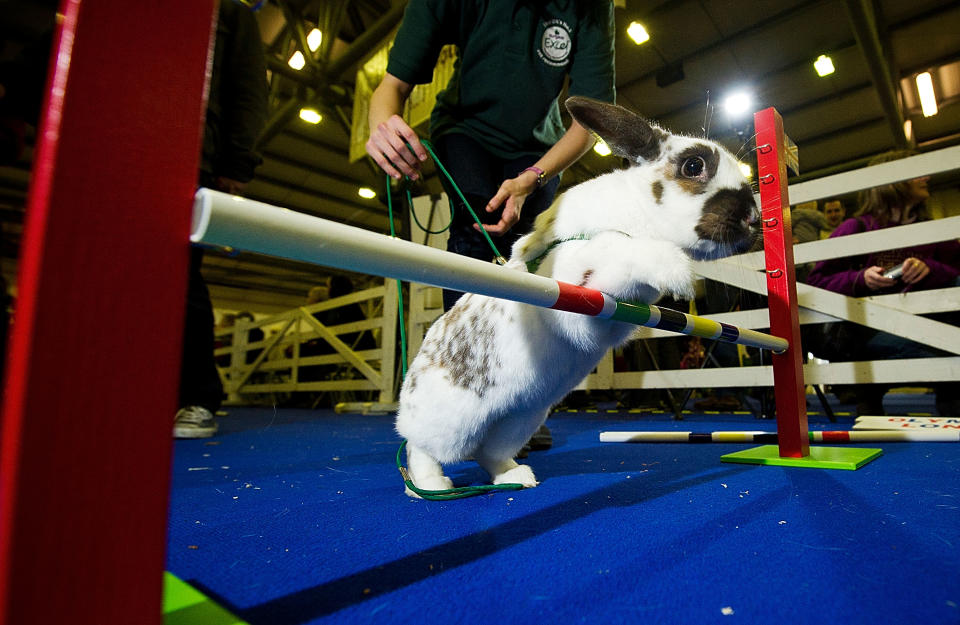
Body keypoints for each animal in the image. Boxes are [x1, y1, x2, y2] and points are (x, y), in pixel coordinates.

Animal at [396, 96, 756, 498]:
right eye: (693, 165)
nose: (753, 219)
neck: (637, 216)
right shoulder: (573, 279)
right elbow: (615, 248)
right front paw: (675, 271)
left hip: (520, 419)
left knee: (488, 454)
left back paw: (517, 476)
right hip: (449, 425)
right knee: (420, 448)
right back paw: (429, 485)